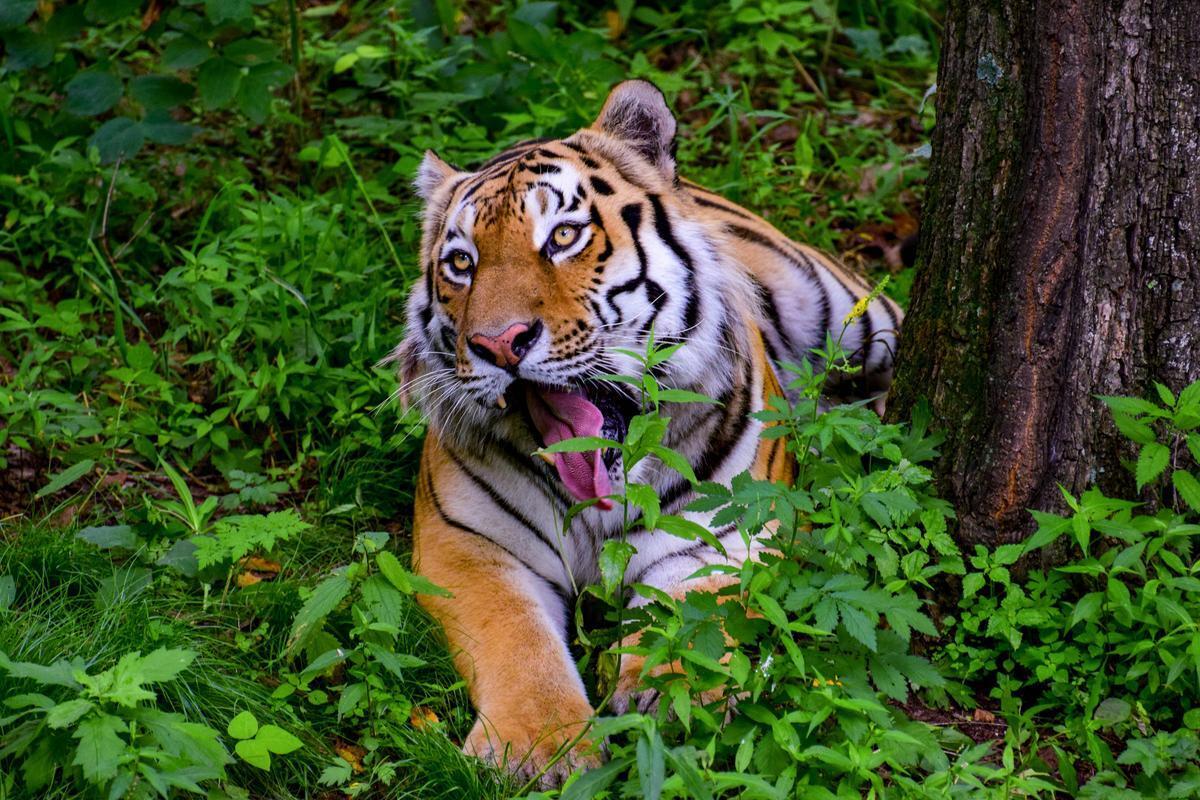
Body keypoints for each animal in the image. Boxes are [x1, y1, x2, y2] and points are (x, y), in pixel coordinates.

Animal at [390, 80, 903, 786]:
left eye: (564, 236)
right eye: (462, 263)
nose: (497, 343)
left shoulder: (726, 536)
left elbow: (696, 618)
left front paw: (677, 699)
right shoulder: (467, 545)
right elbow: (516, 639)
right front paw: (539, 750)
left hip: (857, 316)